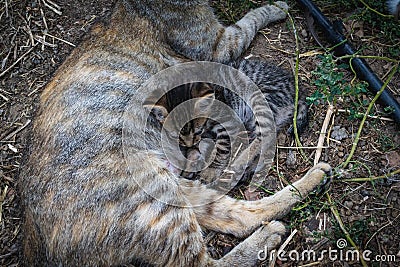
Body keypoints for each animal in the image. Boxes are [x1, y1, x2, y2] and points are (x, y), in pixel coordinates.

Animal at [19, 1, 332, 266]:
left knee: (239, 214)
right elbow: (250, 20)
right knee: (210, 256)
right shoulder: (219, 44)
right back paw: (267, 234)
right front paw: (275, 8)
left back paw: (310, 180)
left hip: (170, 189)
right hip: (154, 200)